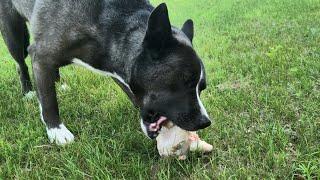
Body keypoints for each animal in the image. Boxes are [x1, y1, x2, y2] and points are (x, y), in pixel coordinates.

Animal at [0, 0, 212, 145]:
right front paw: (56, 130)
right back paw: (28, 91)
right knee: (20, 63)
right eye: (185, 81)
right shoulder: (41, 56)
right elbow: (48, 100)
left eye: (201, 87)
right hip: (14, 34)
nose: (205, 122)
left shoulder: (118, 70)